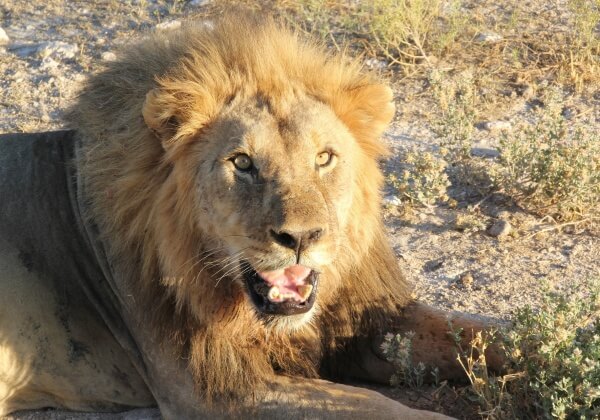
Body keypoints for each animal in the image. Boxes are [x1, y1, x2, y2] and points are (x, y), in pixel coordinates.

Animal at [0, 14, 502, 418]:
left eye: (324, 158)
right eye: (242, 163)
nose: (301, 237)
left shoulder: (370, 319)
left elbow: (481, 332)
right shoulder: (212, 389)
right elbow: (386, 409)